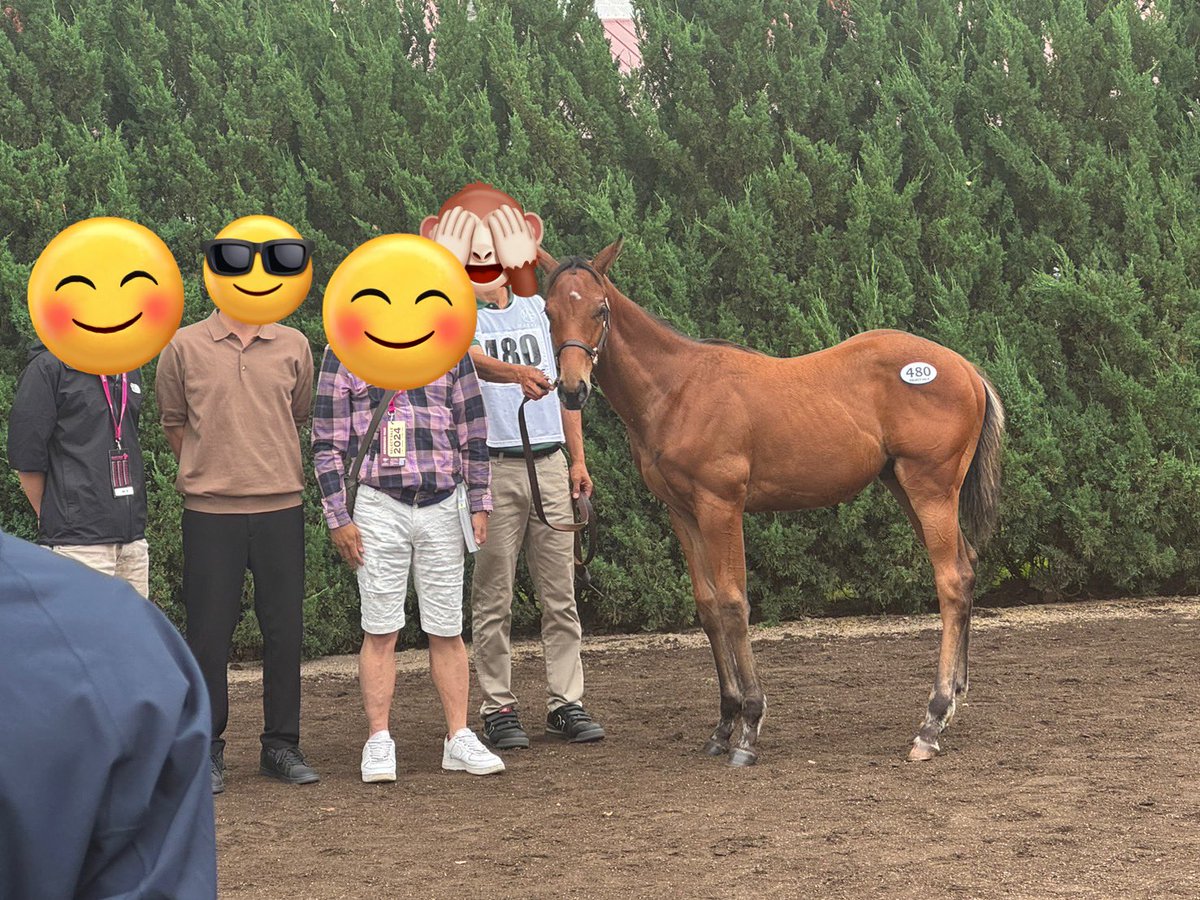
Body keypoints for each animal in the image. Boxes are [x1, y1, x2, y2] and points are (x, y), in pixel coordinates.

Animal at [535, 238, 1005, 766]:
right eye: (550, 311)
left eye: (600, 309)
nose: (572, 389)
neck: (678, 388)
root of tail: (965, 368)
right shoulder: (683, 513)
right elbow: (708, 607)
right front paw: (723, 724)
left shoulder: (721, 507)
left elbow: (734, 603)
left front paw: (749, 727)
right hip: (905, 487)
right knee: (966, 567)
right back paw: (953, 702)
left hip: (930, 489)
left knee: (951, 581)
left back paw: (931, 720)